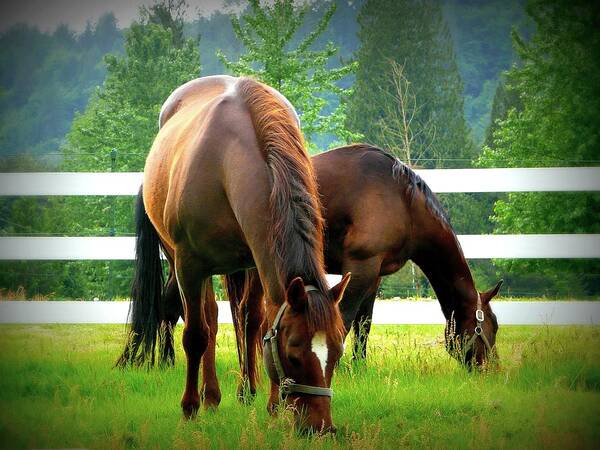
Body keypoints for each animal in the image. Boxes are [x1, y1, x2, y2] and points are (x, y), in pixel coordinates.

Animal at [115, 75, 350, 434]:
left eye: (336, 351)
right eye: (294, 352)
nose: (320, 427)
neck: (226, 162)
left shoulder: (258, 258)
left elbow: (259, 322)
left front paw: (269, 405)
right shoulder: (189, 265)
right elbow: (196, 335)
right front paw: (189, 407)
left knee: (238, 318)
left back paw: (239, 391)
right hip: (180, 260)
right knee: (208, 320)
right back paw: (209, 396)